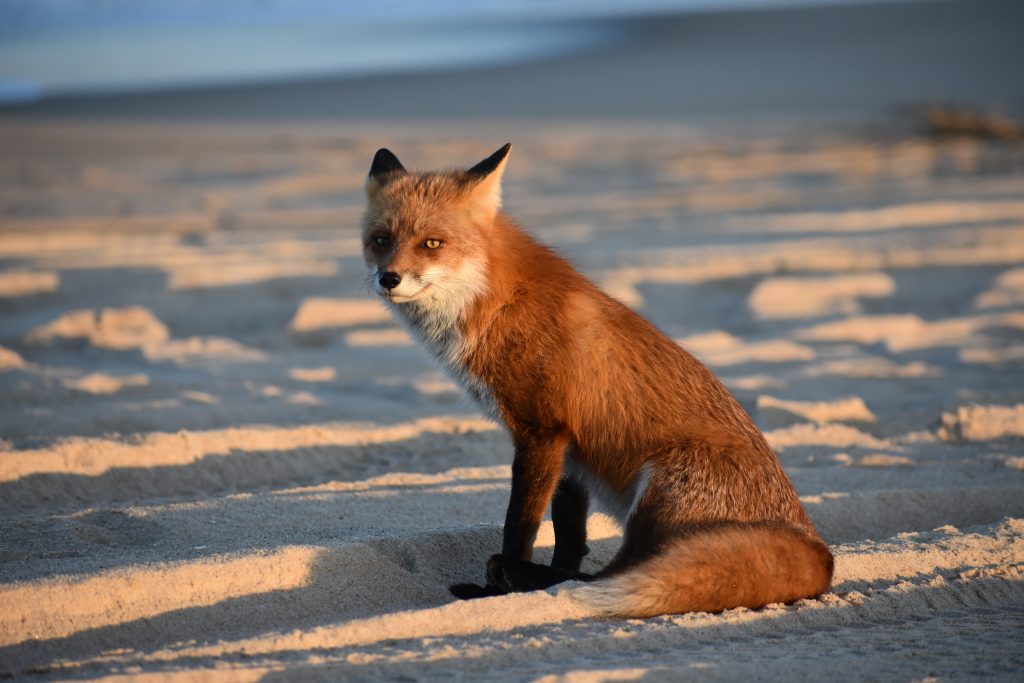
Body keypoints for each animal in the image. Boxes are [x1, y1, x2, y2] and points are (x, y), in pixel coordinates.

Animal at [361, 143, 834, 617]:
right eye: (381, 240)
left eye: (432, 243)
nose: (389, 279)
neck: (499, 300)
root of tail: (820, 553)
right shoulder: (570, 448)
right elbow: (570, 536)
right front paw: (538, 575)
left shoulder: (541, 429)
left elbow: (520, 526)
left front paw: (500, 587)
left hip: (658, 488)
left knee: (616, 574)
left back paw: (518, 576)